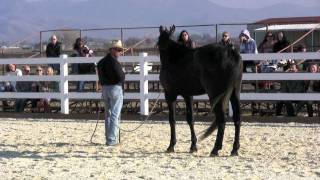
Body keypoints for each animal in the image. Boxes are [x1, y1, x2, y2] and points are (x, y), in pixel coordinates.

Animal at [158, 25, 242, 156]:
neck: (174, 57)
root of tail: (231, 52)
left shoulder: (170, 95)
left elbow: (172, 120)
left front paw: (171, 146)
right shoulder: (188, 95)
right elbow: (190, 119)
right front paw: (193, 146)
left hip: (215, 95)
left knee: (221, 120)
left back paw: (215, 149)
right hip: (234, 93)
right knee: (237, 119)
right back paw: (234, 149)